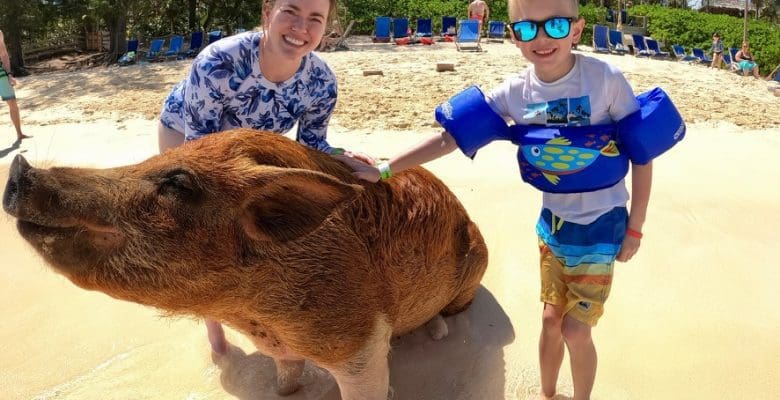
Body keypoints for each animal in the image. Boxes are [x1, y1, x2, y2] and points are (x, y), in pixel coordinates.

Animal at [1, 130, 488, 398]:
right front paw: (284, 391)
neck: (254, 314)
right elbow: (284, 382)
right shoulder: (282, 348)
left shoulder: (359, 343)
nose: (20, 168)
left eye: (177, 182)